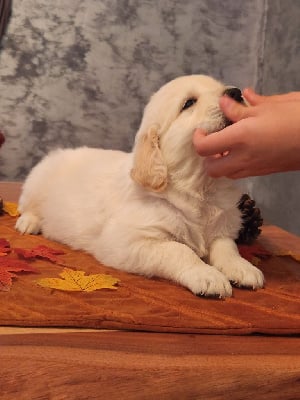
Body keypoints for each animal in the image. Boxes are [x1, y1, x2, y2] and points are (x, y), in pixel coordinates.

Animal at [16, 76, 264, 298]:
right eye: (189, 103)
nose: (235, 92)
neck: (201, 185)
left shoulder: (223, 226)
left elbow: (227, 247)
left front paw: (242, 267)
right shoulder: (127, 241)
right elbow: (179, 250)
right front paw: (208, 276)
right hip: (37, 181)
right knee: (27, 206)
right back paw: (28, 223)